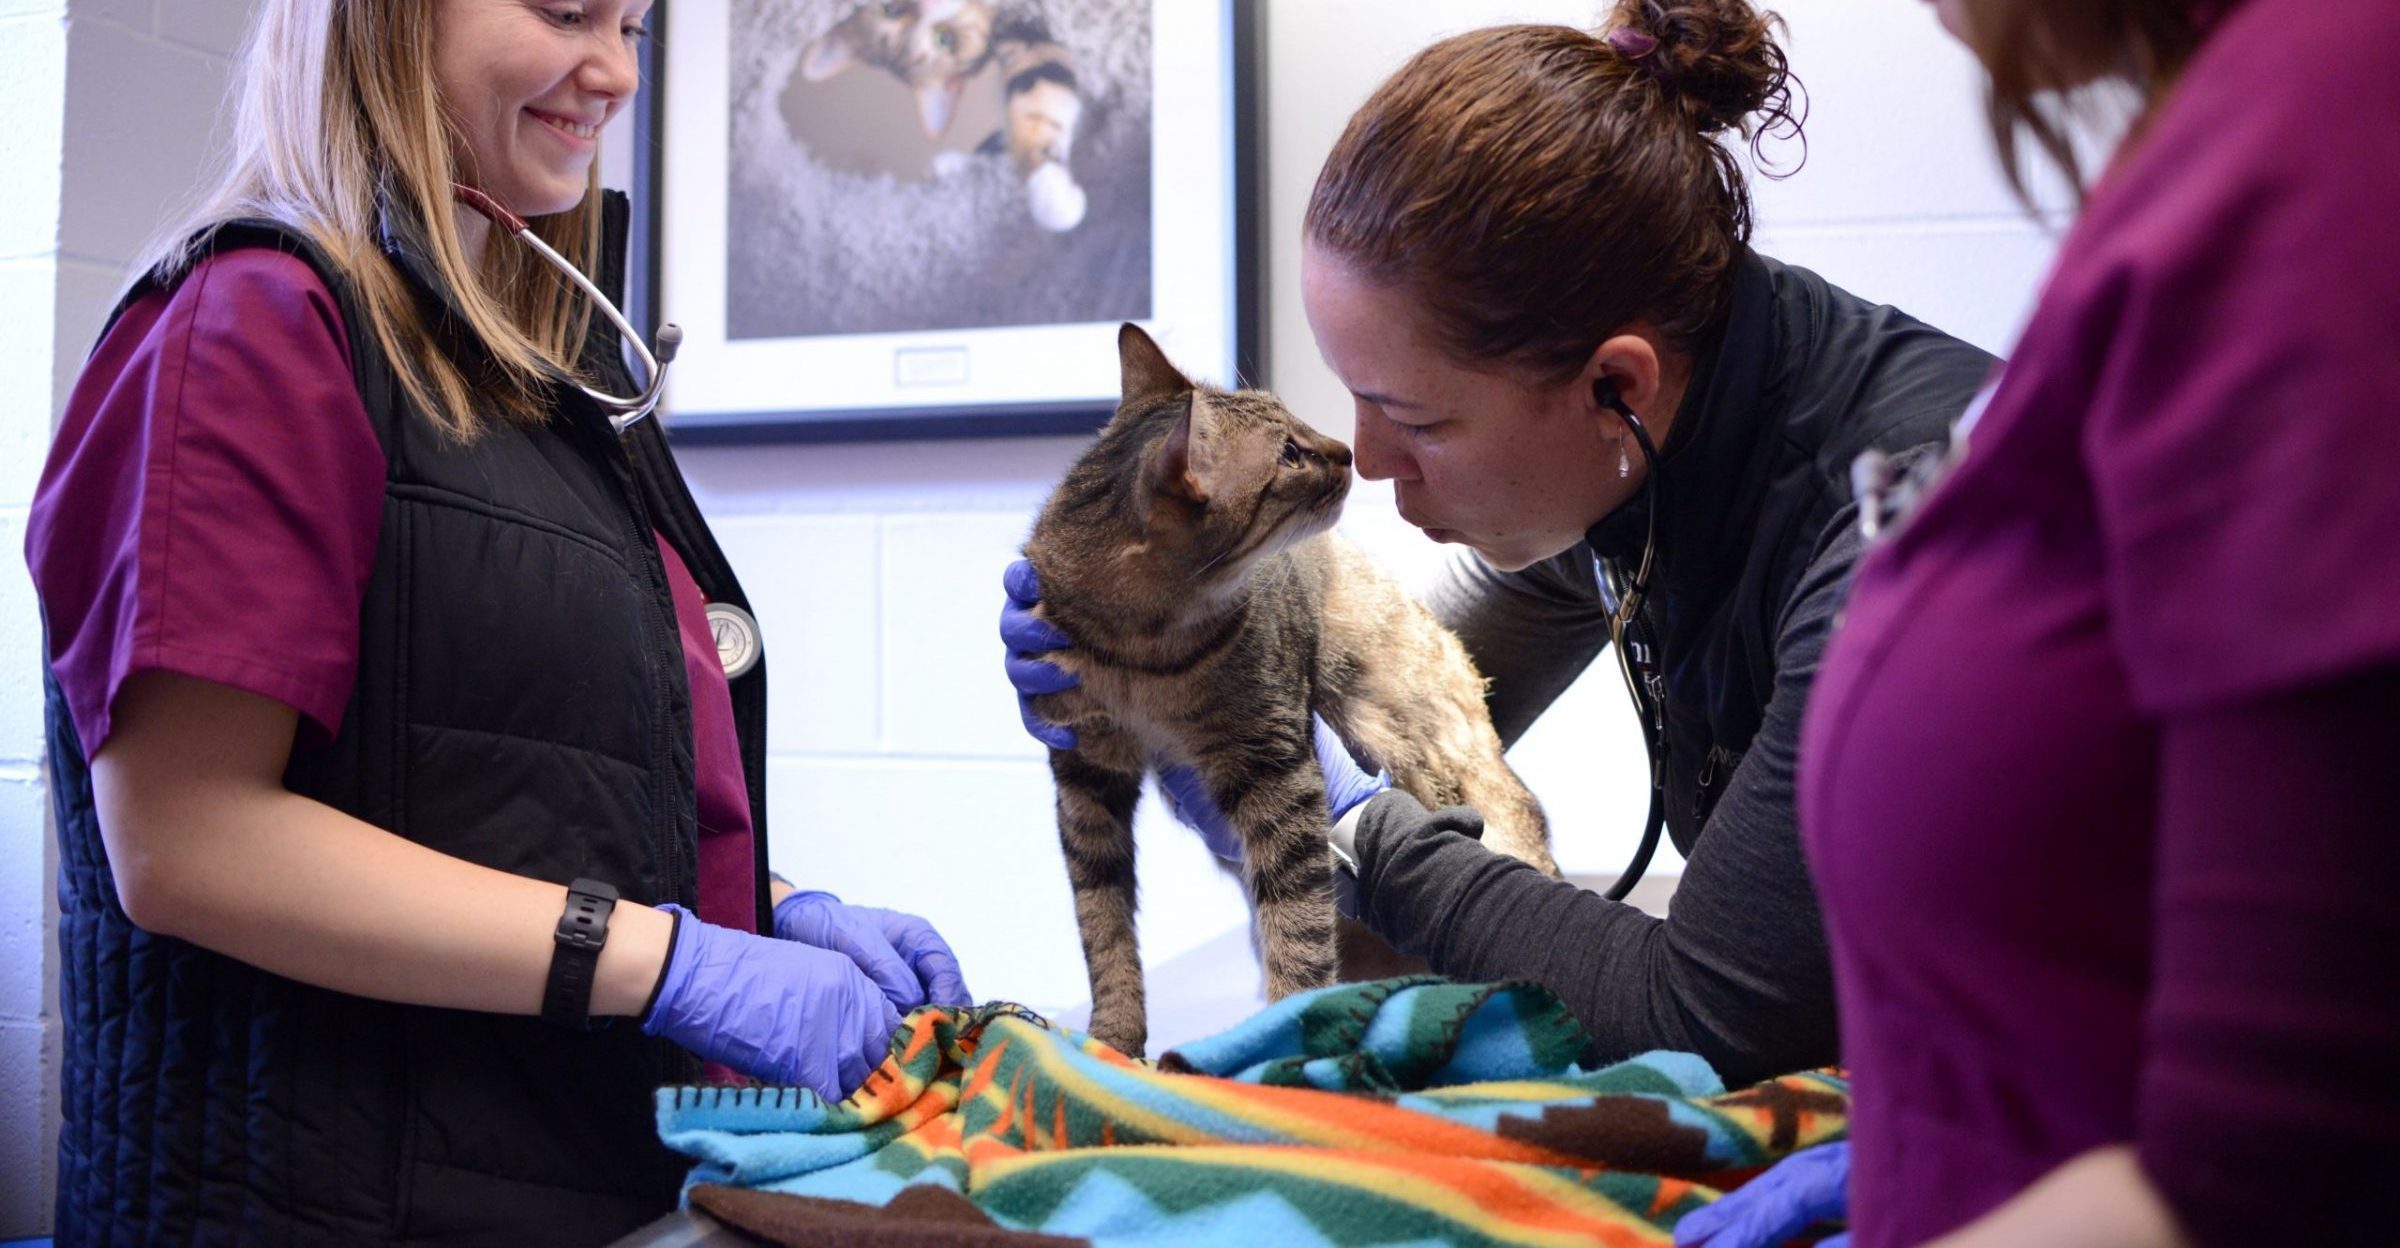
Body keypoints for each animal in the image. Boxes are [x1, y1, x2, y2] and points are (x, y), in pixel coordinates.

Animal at [796, 1, 1089, 230]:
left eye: (890, 10)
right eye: (945, 40)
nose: (928, 4)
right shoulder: (1029, 42)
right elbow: (1038, 103)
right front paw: (1051, 195)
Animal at [1017, 326, 1555, 1056]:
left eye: (1296, 423)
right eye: (1291, 456)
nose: (1345, 448)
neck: (1138, 652)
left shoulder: (1276, 765)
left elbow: (1297, 921)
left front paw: (1285, 1027)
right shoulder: (1084, 774)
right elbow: (1102, 922)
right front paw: (1115, 1034)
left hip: (1450, 765)